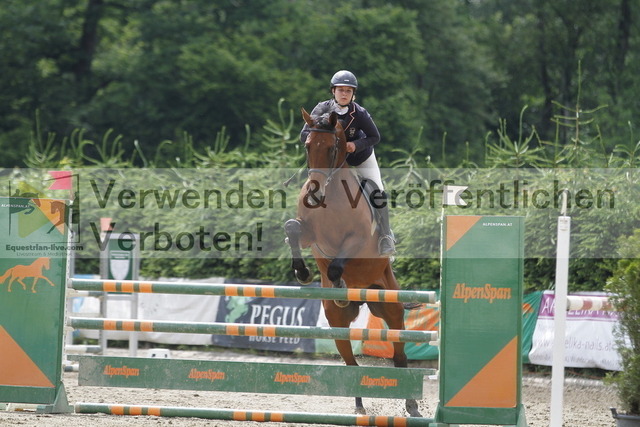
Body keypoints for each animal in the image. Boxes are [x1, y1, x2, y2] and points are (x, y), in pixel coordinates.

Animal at [284, 108, 422, 417]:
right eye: (307, 145)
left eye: (333, 147)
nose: (314, 193)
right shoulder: (310, 236)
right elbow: (293, 229)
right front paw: (303, 273)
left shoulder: (356, 240)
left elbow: (337, 263)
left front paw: (338, 283)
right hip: (338, 325)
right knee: (351, 365)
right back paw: (359, 406)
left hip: (392, 308)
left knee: (399, 356)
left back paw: (411, 406)